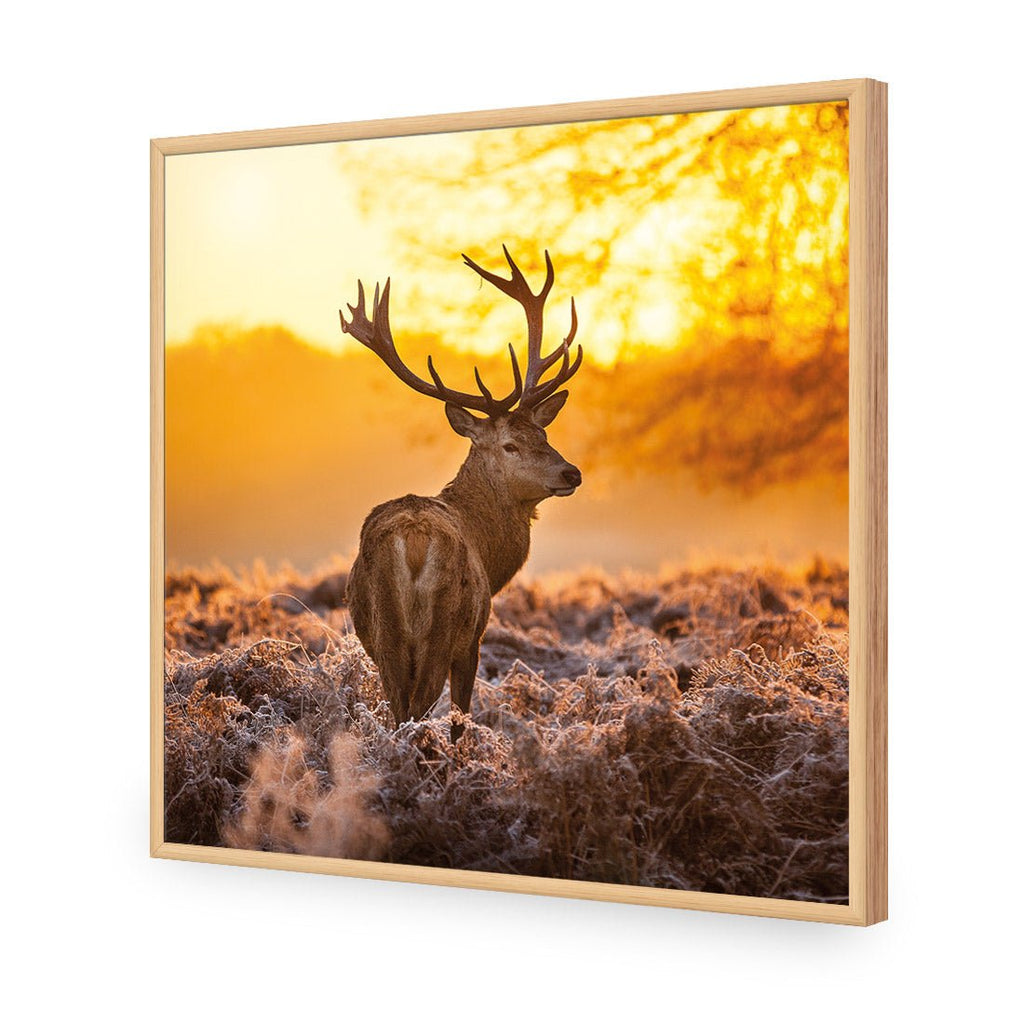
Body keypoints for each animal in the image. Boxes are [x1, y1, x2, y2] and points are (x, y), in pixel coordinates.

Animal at [340, 247, 583, 739]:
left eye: (543, 434)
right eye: (510, 444)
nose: (572, 473)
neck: (490, 553)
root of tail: (412, 541)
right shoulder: (473, 638)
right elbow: (461, 717)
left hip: (384, 634)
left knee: (398, 709)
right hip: (443, 628)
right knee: (418, 710)